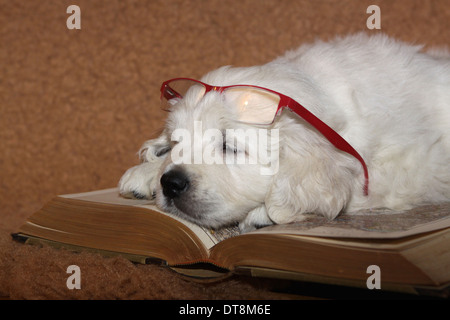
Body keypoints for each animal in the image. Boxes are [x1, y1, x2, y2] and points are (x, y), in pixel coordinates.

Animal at [118, 34, 450, 232]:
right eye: (177, 142)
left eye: (230, 146)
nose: (171, 183)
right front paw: (145, 172)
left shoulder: (397, 173)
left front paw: (262, 214)